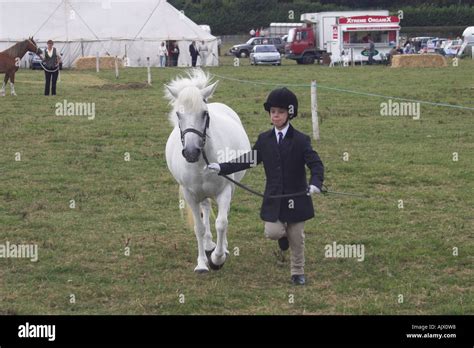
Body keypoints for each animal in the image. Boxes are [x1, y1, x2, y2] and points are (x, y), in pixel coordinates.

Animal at [165, 69, 252, 274]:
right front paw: (202, 263)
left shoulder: (225, 190)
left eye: (204, 113)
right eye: (178, 114)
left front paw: (218, 258)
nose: (191, 152)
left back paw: (222, 247)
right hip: (201, 195)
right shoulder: (190, 195)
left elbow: (222, 223)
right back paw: (208, 244)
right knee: (205, 210)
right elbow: (199, 227)